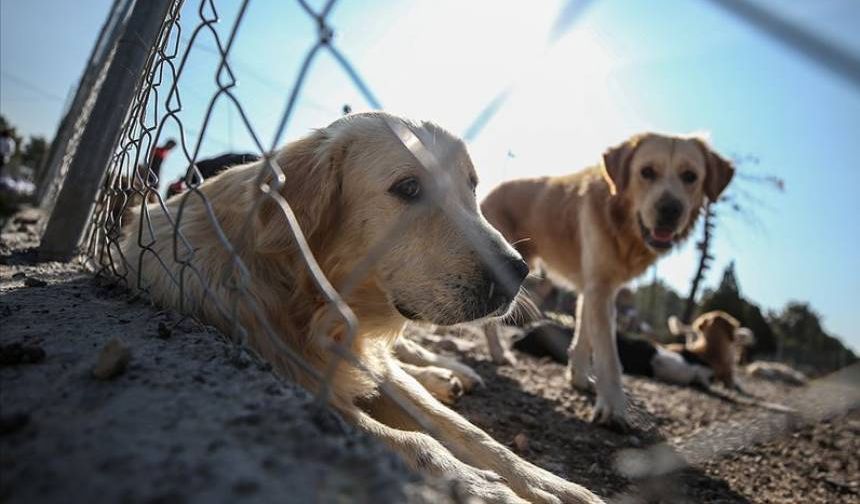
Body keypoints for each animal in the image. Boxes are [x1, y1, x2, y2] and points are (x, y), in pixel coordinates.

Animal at [119, 113, 604, 504]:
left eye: (472, 185)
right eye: (408, 188)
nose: (518, 272)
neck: (316, 299)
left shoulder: (371, 362)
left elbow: (470, 432)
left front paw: (549, 483)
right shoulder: (292, 379)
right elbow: (416, 443)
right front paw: (481, 487)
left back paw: (450, 372)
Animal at [484, 132, 732, 428]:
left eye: (690, 176)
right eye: (647, 172)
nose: (670, 211)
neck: (621, 221)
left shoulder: (594, 288)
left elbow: (584, 338)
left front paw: (579, 379)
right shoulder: (599, 289)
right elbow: (608, 354)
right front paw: (613, 406)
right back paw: (498, 353)